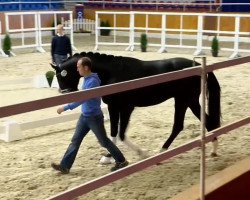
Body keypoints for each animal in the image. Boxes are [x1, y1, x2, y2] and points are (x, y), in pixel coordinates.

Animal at [51, 52, 221, 162]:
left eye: (62, 75)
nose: (66, 93)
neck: (112, 73)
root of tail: (198, 65)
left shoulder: (125, 107)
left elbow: (120, 134)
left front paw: (142, 153)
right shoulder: (114, 107)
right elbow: (113, 133)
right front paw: (109, 157)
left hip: (184, 100)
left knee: (185, 124)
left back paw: (162, 151)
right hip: (188, 100)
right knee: (199, 122)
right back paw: (211, 150)